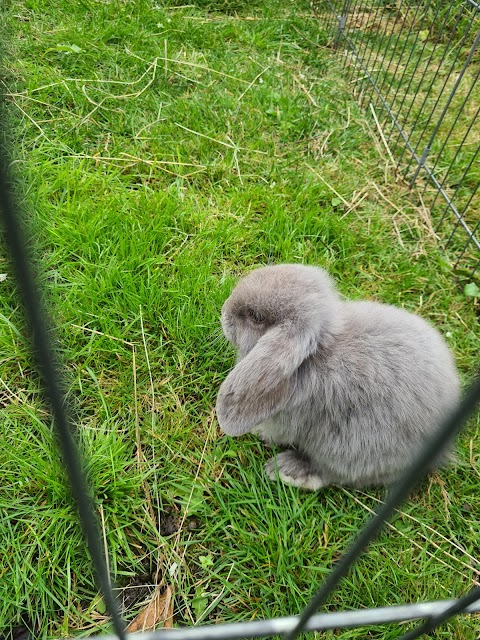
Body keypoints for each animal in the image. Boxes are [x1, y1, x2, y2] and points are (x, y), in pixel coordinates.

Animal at [216, 264, 460, 490]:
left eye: (256, 317)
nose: (223, 312)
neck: (316, 353)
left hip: (347, 449)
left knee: (332, 474)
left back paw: (286, 470)